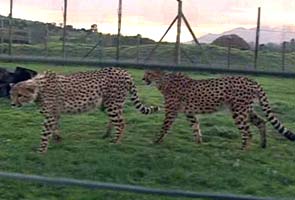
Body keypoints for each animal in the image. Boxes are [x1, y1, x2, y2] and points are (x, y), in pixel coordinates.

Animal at [9, 67, 160, 153]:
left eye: (20, 95)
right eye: (11, 94)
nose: (13, 104)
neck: (39, 88)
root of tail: (124, 71)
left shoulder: (50, 115)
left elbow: (45, 133)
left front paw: (41, 150)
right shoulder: (55, 114)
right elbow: (55, 127)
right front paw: (58, 138)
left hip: (112, 104)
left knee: (121, 123)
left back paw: (115, 142)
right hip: (106, 105)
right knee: (115, 120)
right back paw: (107, 135)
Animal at [142, 70, 294, 148]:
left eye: (149, 73)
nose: (143, 79)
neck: (163, 81)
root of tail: (250, 79)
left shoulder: (171, 112)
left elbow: (164, 127)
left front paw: (156, 141)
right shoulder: (190, 113)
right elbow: (195, 127)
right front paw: (199, 144)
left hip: (238, 112)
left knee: (248, 132)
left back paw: (242, 151)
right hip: (247, 110)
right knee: (261, 122)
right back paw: (263, 145)